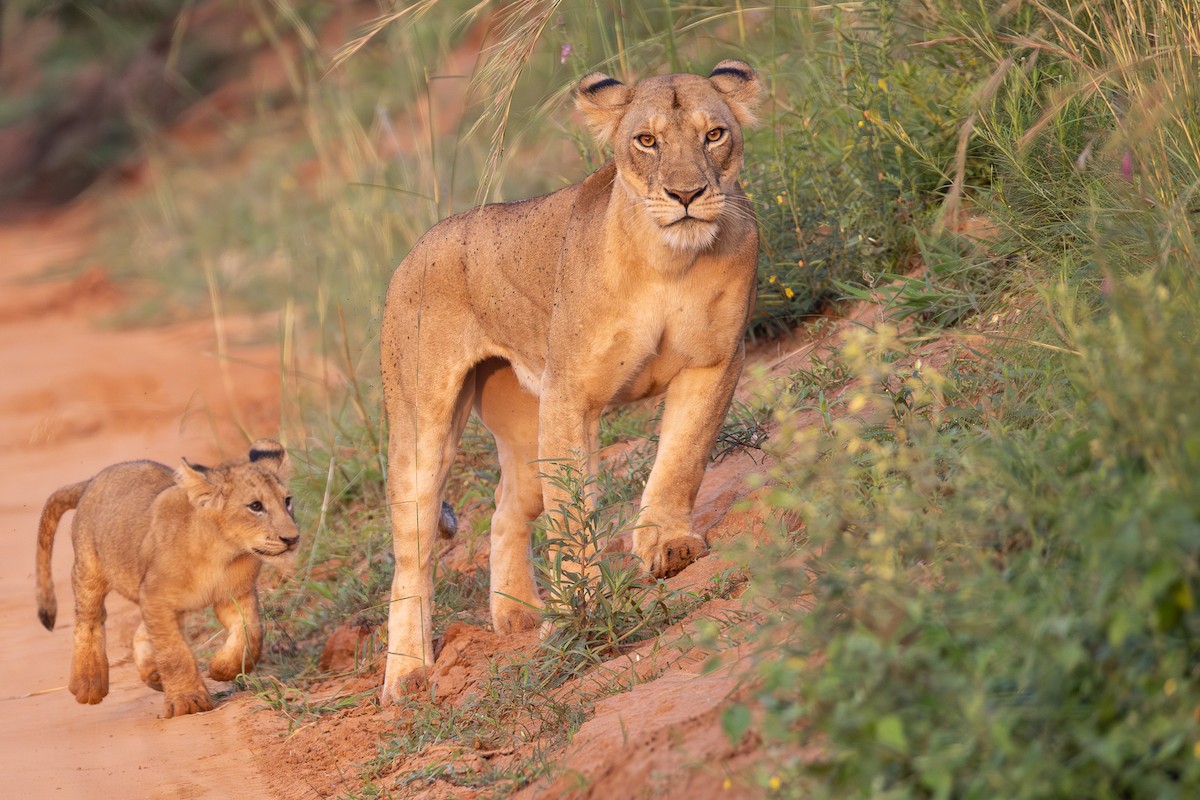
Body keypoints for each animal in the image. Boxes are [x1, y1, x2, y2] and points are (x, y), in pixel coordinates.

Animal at [35, 439, 299, 718]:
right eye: (255, 506)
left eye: (287, 501)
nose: (292, 538)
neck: (224, 552)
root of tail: (93, 479)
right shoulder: (155, 596)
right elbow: (174, 652)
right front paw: (188, 701)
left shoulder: (235, 594)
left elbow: (251, 634)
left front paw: (222, 668)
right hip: (89, 569)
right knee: (90, 619)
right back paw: (88, 684)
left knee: (140, 630)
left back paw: (153, 674)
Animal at [378, 60, 761, 702]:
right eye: (646, 140)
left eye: (714, 134)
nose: (686, 195)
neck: (669, 261)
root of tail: (418, 246)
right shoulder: (569, 394)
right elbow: (573, 516)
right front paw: (578, 608)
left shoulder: (713, 362)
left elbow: (681, 459)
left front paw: (668, 546)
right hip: (422, 427)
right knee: (412, 557)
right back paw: (407, 674)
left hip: (521, 424)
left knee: (507, 510)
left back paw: (518, 615)